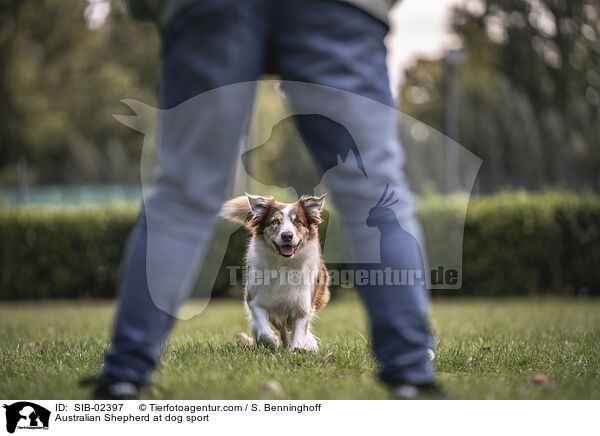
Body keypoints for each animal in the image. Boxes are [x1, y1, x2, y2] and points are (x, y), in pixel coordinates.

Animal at [223, 194, 330, 350]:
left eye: (297, 221)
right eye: (275, 221)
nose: (287, 235)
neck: (283, 264)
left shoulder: (302, 306)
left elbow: (298, 336)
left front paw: (297, 350)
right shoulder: (254, 299)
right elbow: (263, 329)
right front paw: (272, 341)